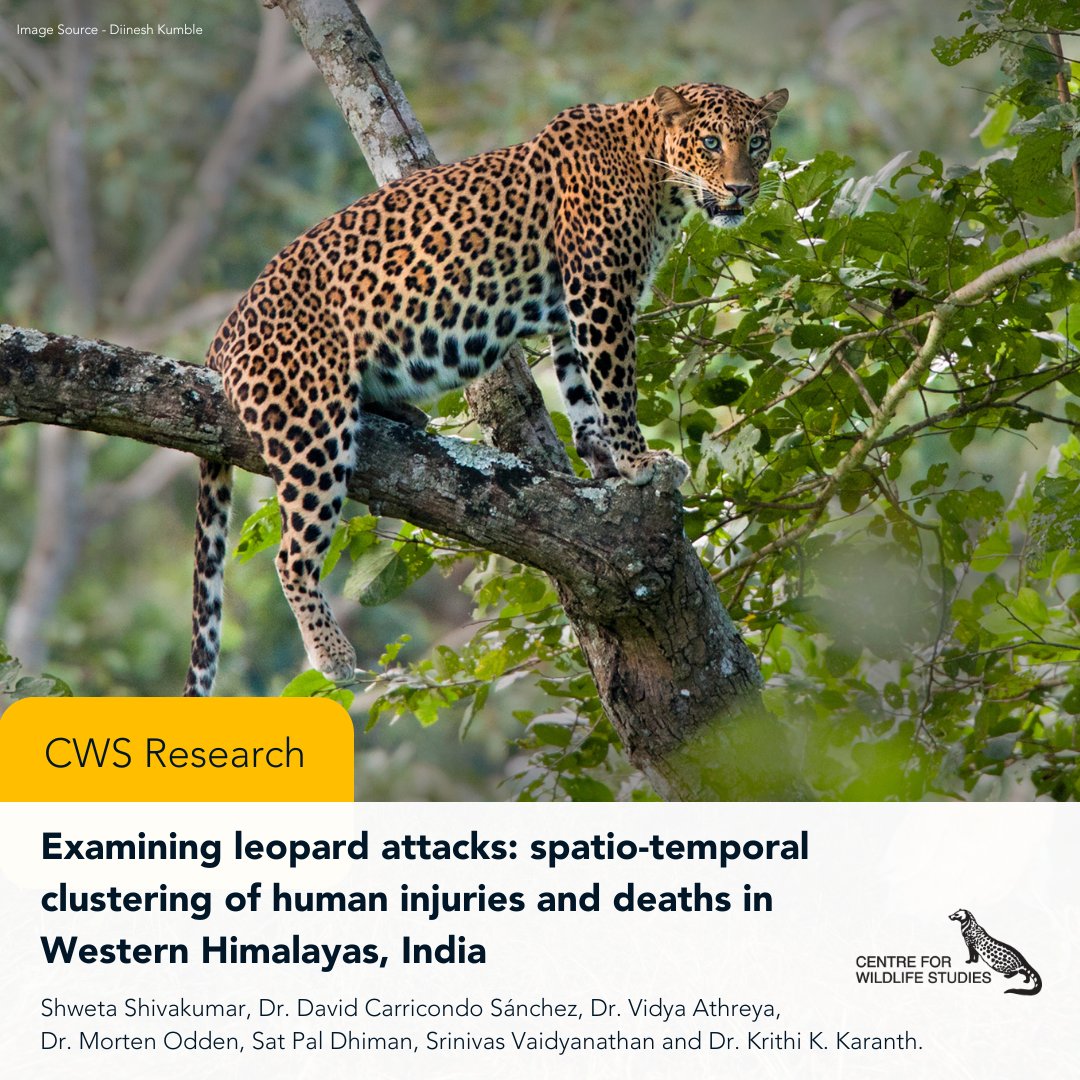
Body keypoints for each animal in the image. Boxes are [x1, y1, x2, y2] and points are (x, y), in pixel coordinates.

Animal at [184, 82, 789, 695]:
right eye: (710, 143)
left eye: (756, 143)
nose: (741, 189)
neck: (659, 179)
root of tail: (221, 338)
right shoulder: (599, 297)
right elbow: (616, 387)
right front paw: (641, 462)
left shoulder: (571, 314)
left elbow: (583, 394)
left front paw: (604, 464)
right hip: (310, 424)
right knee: (291, 552)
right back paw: (332, 653)